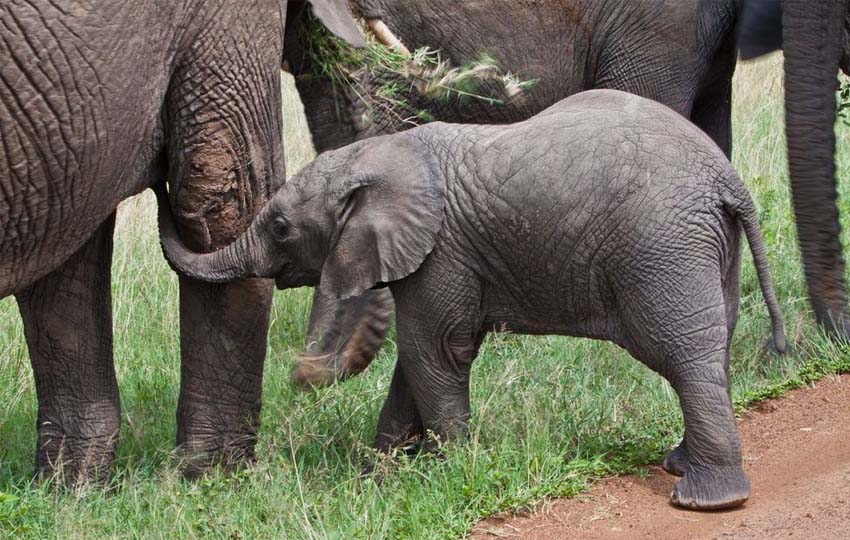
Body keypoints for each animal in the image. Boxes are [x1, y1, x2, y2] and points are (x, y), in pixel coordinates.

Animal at [158, 89, 788, 510]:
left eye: (282, 227)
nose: (163, 182)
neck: (382, 154)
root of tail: (727, 181)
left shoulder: (442, 252)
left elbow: (435, 350)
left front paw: (453, 468)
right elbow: (417, 360)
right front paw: (379, 476)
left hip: (662, 249)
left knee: (684, 357)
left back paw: (705, 500)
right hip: (705, 247)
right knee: (715, 345)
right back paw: (682, 468)